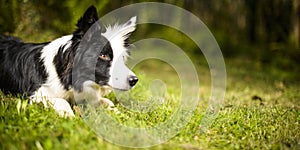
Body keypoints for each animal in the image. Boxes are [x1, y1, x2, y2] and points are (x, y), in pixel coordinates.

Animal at [0, 5, 138, 116]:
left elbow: (107, 102)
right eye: (103, 55)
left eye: (122, 58)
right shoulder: (32, 94)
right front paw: (69, 116)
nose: (134, 80)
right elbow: (61, 101)